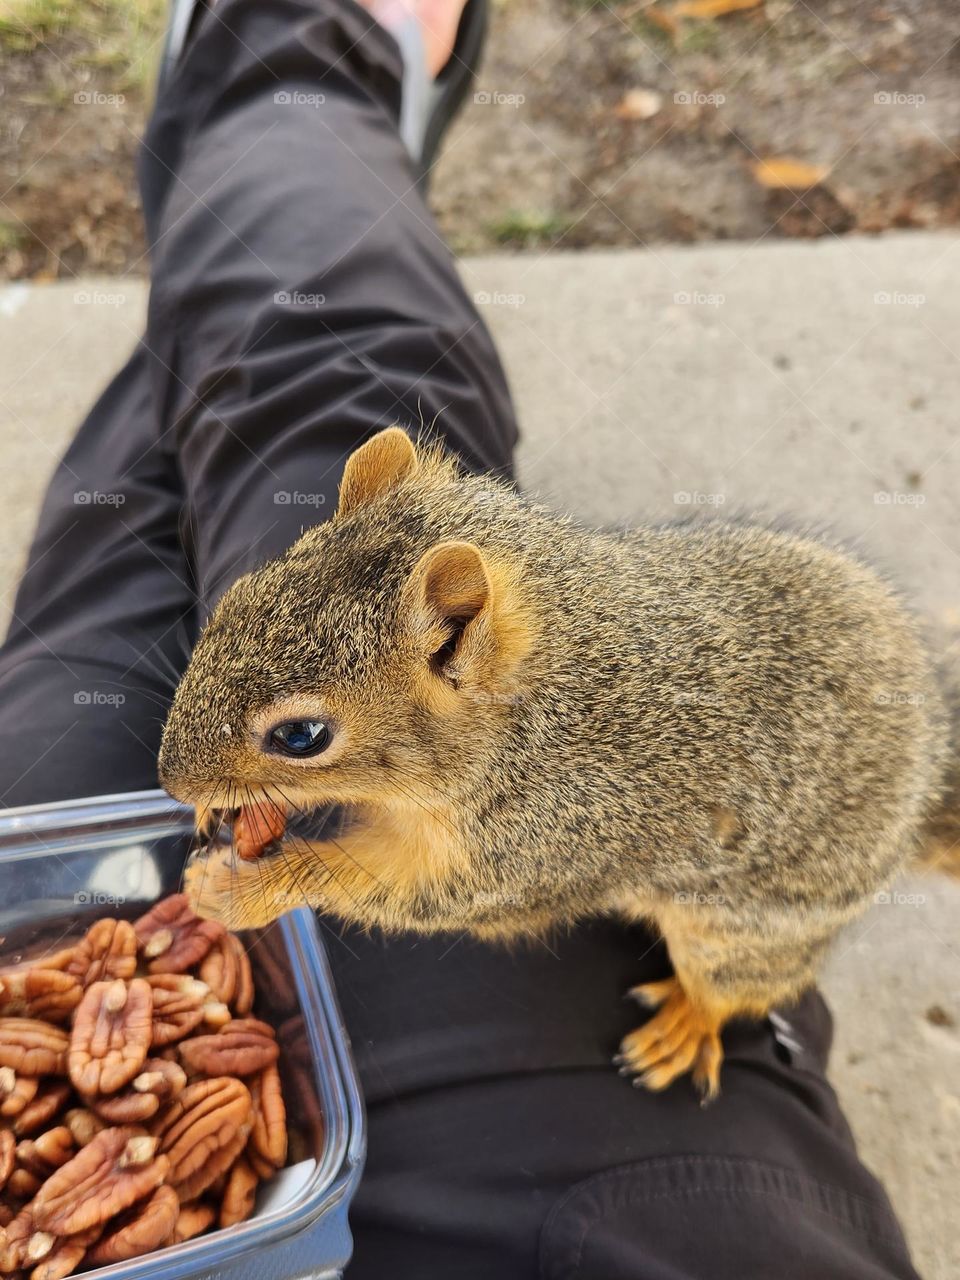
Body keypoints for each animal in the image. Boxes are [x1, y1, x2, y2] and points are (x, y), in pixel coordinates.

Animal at [158, 427, 959, 1099]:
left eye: (302, 736)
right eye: (235, 601)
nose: (170, 779)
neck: (540, 707)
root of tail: (929, 761)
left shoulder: (536, 849)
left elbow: (399, 890)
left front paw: (243, 889)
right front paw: (219, 811)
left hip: (748, 929)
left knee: (737, 988)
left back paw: (686, 1025)